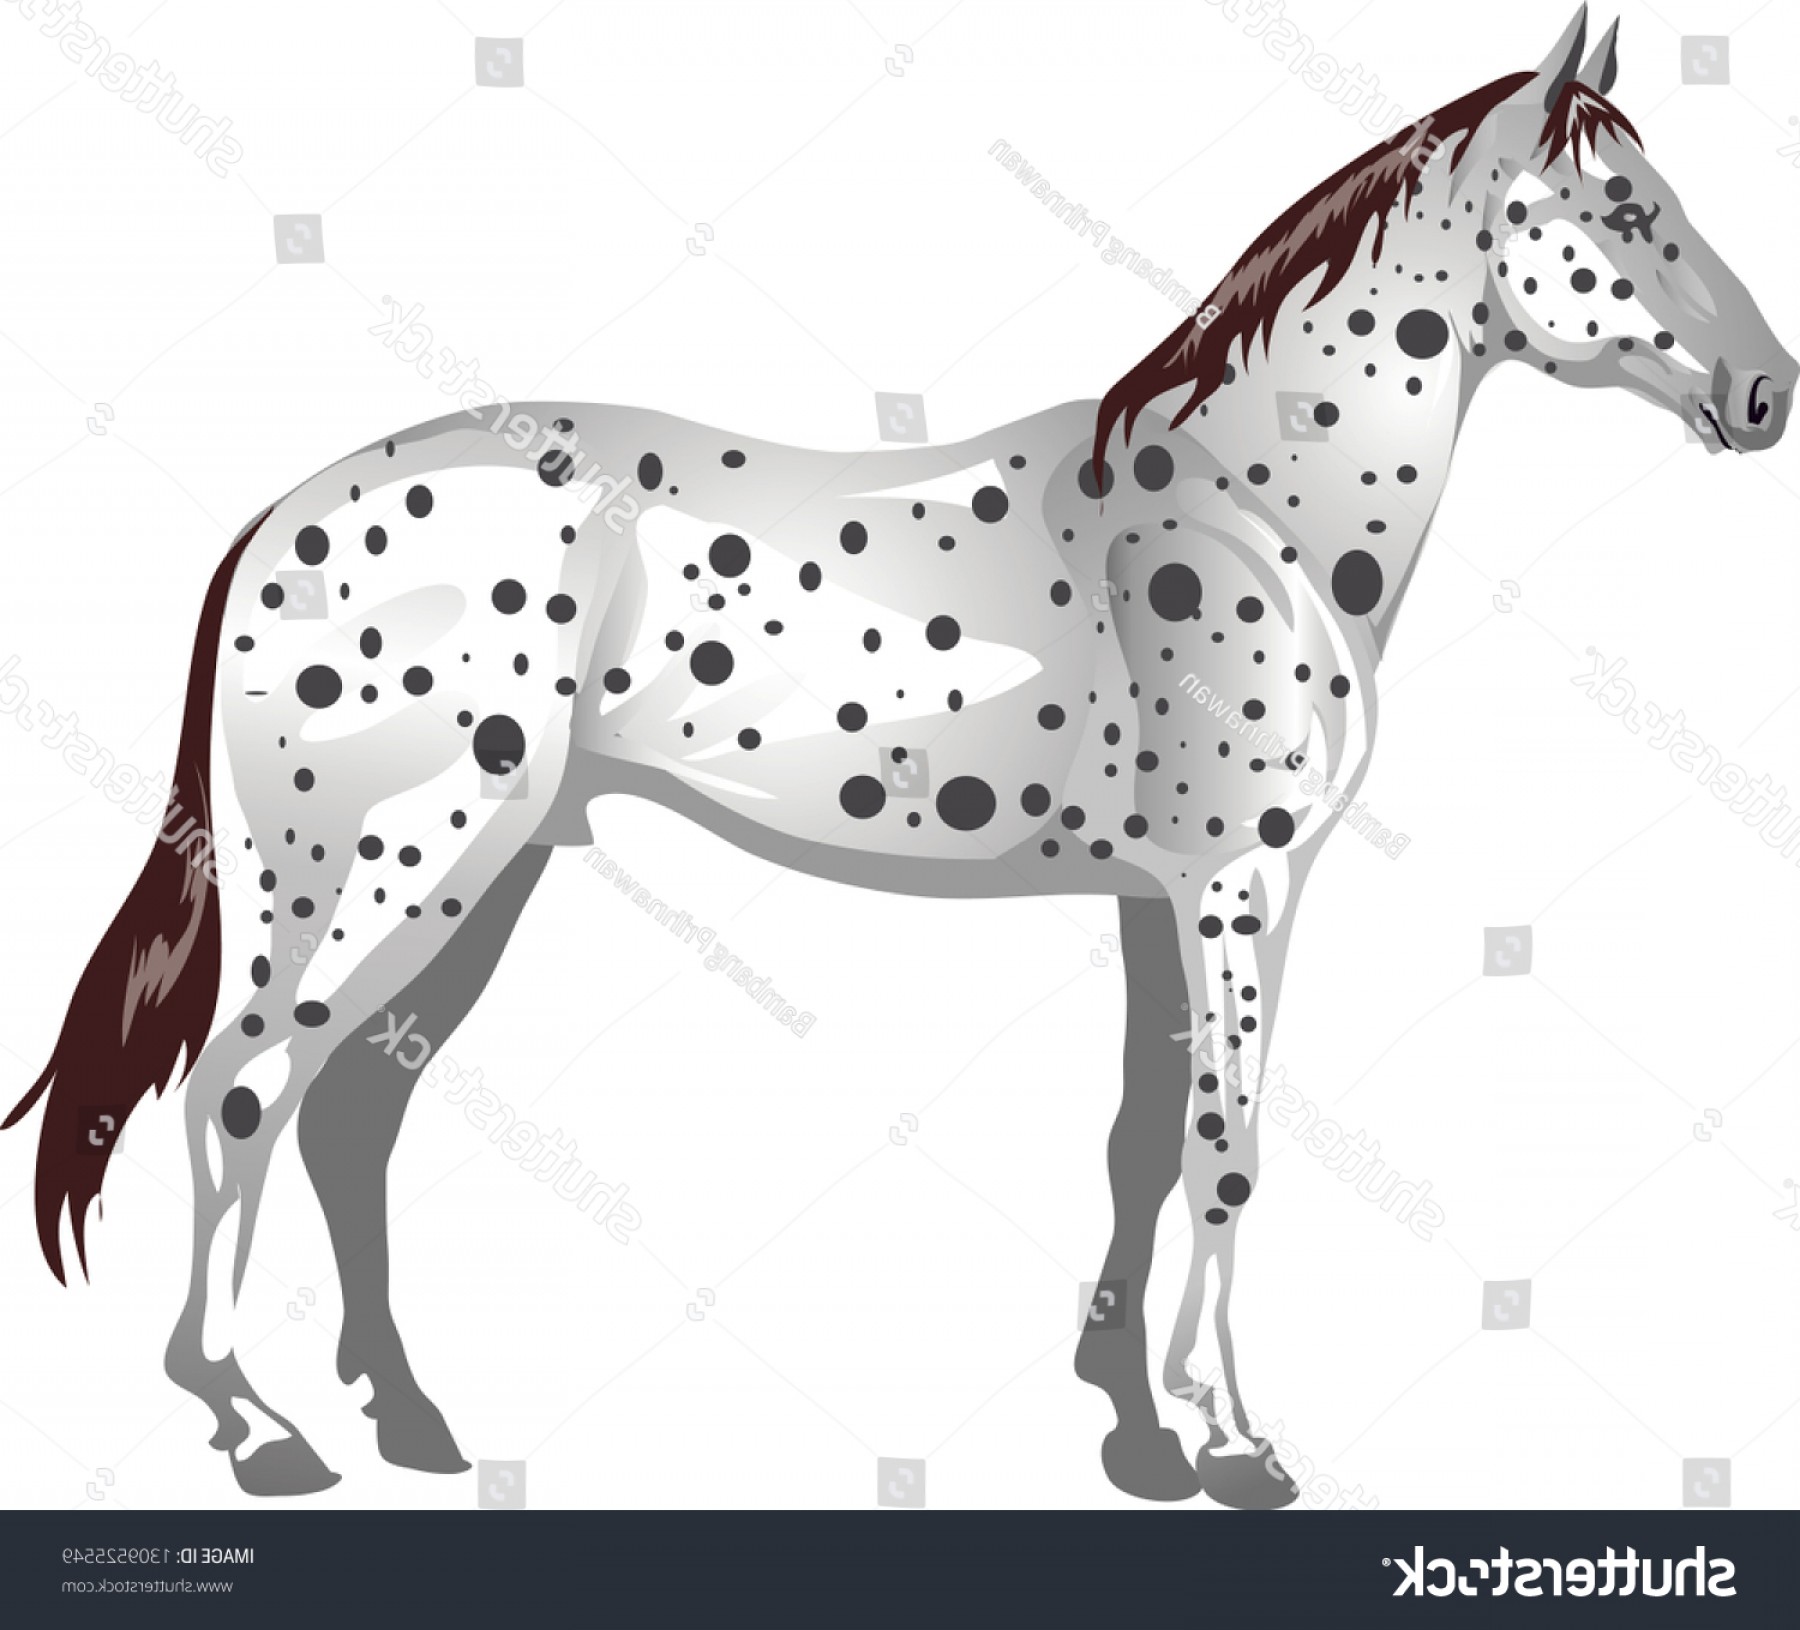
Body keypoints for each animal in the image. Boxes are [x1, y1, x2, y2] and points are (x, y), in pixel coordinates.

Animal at [7, 6, 1790, 1504]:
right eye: (1625, 212)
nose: (1768, 393)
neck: (1252, 509)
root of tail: (281, 517)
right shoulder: (1239, 886)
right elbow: (1224, 1154)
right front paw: (1234, 1443)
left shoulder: (1154, 898)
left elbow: (1140, 1142)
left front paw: (1134, 1429)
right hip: (386, 866)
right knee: (241, 1094)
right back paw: (258, 1425)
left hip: (487, 876)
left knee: (345, 1120)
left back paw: (410, 1417)